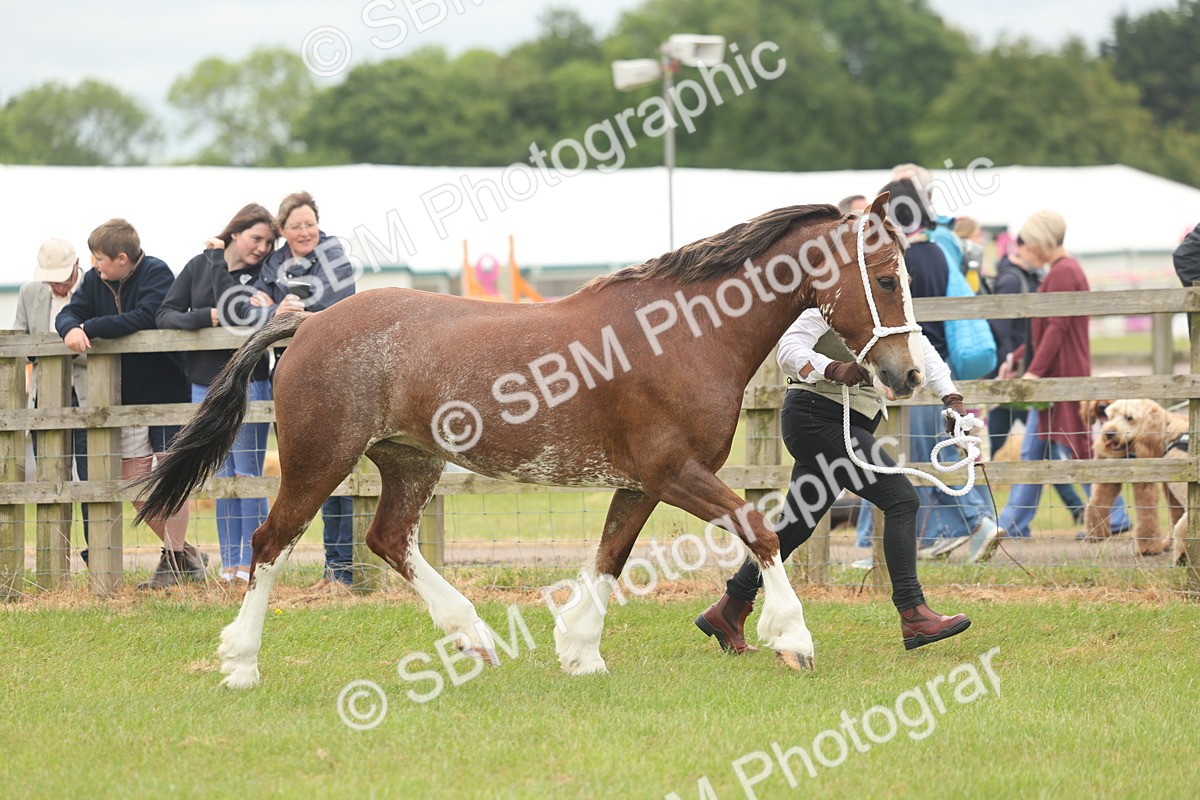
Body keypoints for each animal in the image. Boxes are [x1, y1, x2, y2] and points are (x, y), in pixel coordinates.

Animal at [136, 192, 924, 688]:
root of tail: (309, 321)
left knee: (389, 539)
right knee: (271, 543)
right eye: (887, 279)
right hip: (318, 459)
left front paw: (579, 651)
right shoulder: (674, 471)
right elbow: (758, 530)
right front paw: (794, 640)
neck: (684, 335)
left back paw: (473, 636)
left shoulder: (641, 481)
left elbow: (609, 558)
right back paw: (241, 664)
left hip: (410, 462)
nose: (907, 373)